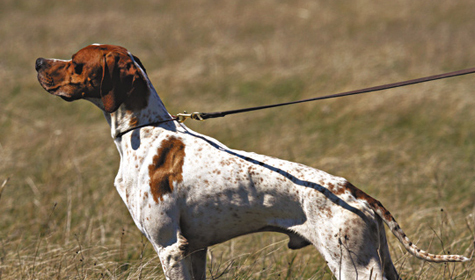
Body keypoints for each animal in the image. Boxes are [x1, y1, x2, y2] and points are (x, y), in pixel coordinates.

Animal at [34, 44, 472, 278]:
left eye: (75, 62)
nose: (38, 62)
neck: (146, 131)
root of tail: (355, 192)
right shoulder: (194, 250)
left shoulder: (169, 248)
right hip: (376, 261)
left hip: (354, 265)